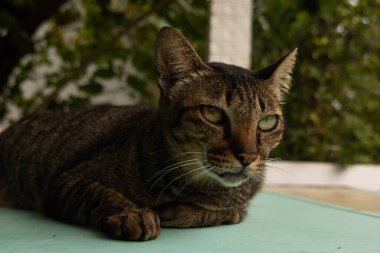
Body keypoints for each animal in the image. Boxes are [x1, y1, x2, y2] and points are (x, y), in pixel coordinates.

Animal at [0, 27, 296, 241]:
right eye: (213, 114)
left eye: (267, 122)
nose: (248, 156)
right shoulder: (65, 181)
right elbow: (98, 192)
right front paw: (132, 214)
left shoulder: (239, 205)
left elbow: (227, 212)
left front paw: (178, 212)